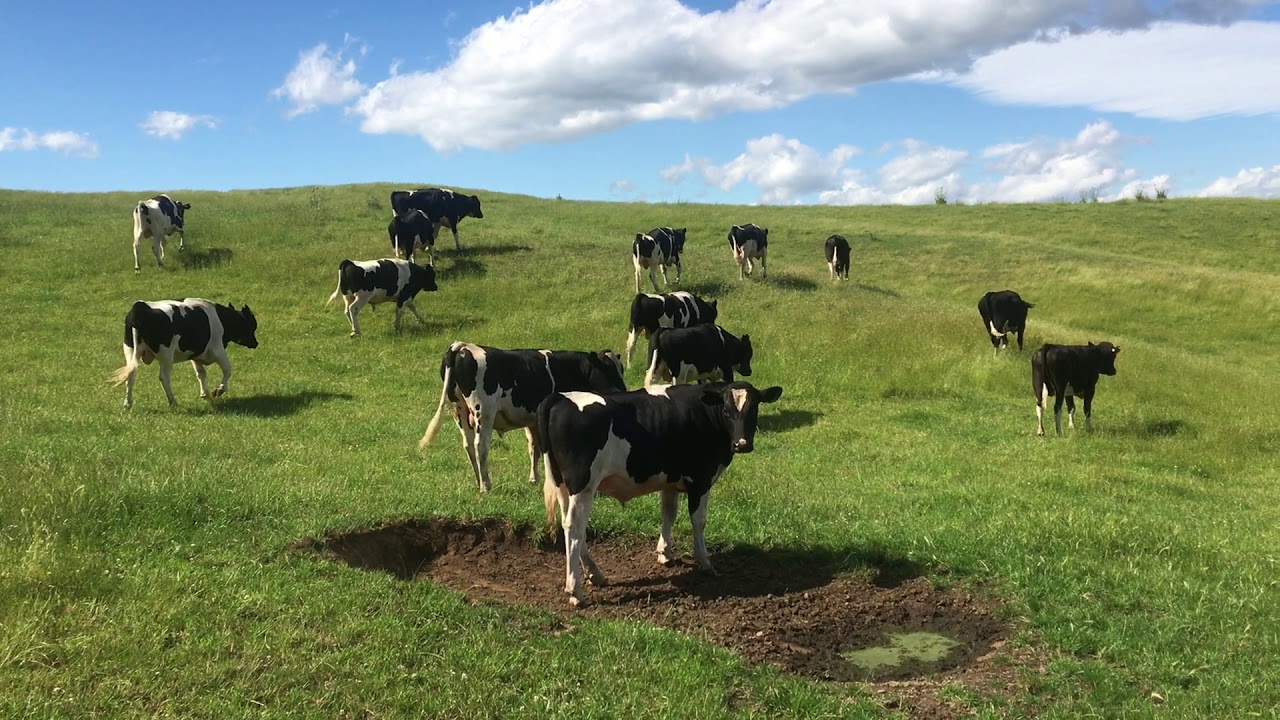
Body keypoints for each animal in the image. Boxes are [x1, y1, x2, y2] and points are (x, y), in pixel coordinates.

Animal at [110, 298, 258, 409]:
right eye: (251, 326)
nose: (256, 343)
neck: (221, 319)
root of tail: (140, 307)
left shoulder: (195, 356)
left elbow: (201, 374)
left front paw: (206, 395)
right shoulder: (218, 350)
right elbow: (227, 370)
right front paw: (218, 390)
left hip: (130, 350)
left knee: (131, 374)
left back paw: (127, 404)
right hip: (166, 355)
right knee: (164, 377)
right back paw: (172, 401)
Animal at [418, 342, 627, 493]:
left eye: (621, 368)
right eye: (607, 369)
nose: (623, 390)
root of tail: (462, 347)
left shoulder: (532, 419)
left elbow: (533, 448)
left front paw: (534, 479)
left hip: (459, 409)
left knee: (468, 445)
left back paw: (478, 482)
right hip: (483, 410)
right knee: (480, 445)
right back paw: (486, 485)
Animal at [538, 381, 783, 606]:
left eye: (754, 409)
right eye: (726, 411)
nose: (742, 444)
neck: (704, 412)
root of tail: (560, 397)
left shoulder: (670, 480)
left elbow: (669, 513)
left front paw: (665, 553)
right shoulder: (701, 480)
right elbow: (698, 521)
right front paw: (704, 561)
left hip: (562, 485)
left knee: (568, 525)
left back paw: (595, 574)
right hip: (583, 486)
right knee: (575, 530)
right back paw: (576, 591)